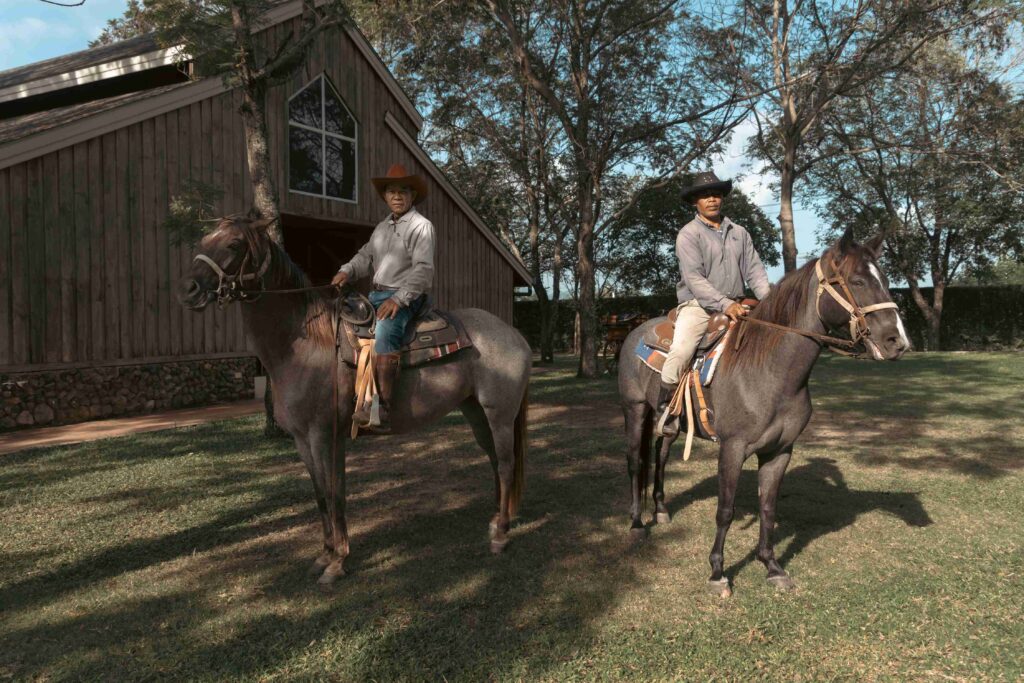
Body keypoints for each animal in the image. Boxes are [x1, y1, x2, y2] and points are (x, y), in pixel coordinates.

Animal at [177, 216, 528, 585]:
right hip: (476, 412)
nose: (188, 289)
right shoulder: (303, 439)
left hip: (499, 414)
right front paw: (325, 555)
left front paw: (337, 562)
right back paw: (496, 519)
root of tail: (514, 335)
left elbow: (335, 494)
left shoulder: (325, 435)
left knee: (506, 463)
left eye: (233, 244)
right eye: (203, 240)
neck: (305, 345)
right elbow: (321, 495)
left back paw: (501, 535)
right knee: (494, 459)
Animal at [614, 228, 913, 593]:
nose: (897, 342)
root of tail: (635, 331)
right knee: (635, 462)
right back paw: (637, 523)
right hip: (635, 411)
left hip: (669, 424)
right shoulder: (732, 449)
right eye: (856, 280)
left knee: (660, 454)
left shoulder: (780, 450)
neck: (768, 370)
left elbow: (768, 507)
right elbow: (725, 510)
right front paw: (717, 573)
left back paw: (660, 509)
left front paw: (771, 566)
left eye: (884, 279)